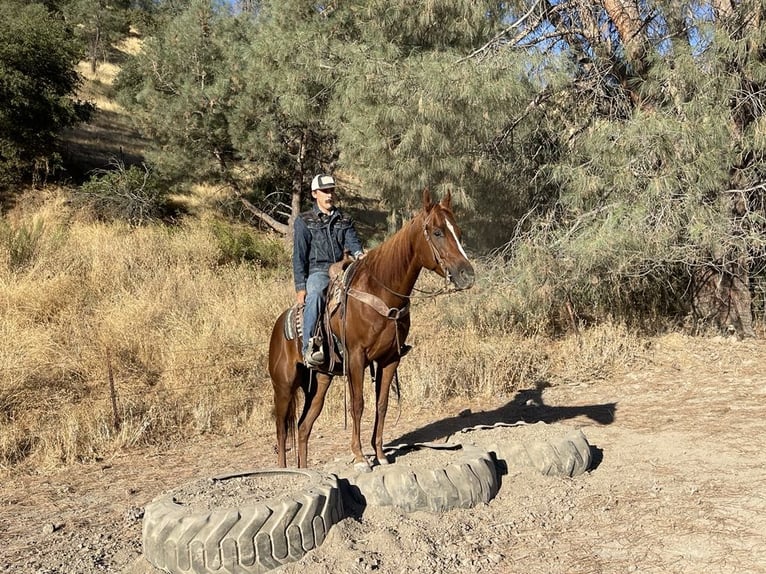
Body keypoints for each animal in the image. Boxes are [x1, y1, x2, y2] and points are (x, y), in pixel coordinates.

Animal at [269, 189, 475, 471]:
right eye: (437, 232)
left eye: (459, 232)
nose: (467, 275)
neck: (381, 292)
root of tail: (279, 327)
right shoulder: (357, 358)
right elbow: (358, 405)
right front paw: (359, 457)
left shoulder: (390, 359)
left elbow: (382, 404)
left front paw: (379, 453)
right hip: (284, 385)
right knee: (281, 428)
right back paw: (283, 469)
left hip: (320, 381)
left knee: (302, 427)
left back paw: (304, 469)